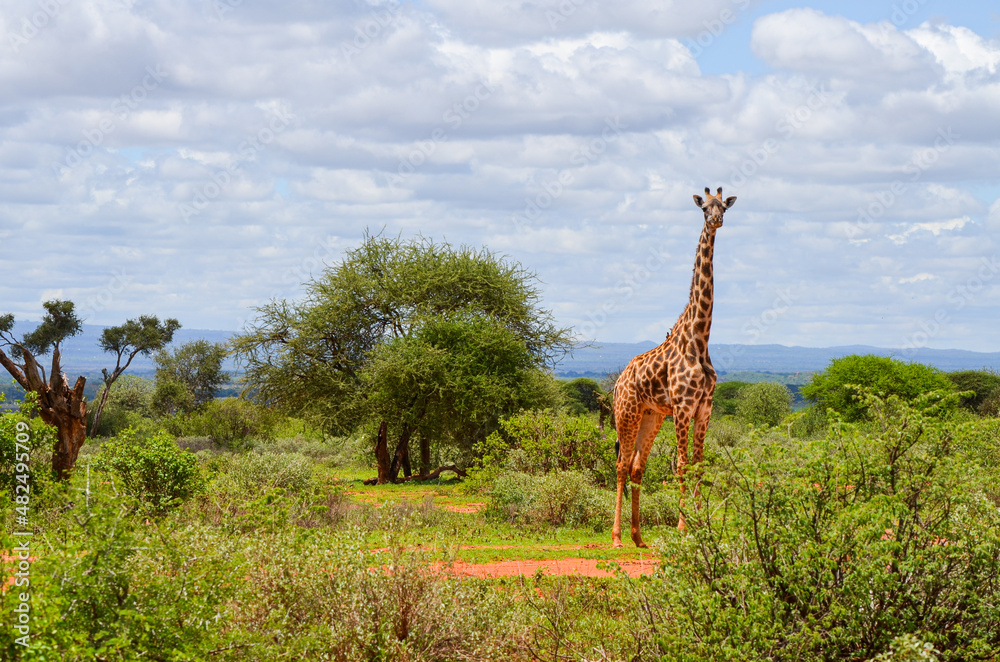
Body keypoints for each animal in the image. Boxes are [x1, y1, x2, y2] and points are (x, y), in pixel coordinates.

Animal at [611, 187, 736, 548]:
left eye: (724, 207)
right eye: (704, 208)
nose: (717, 220)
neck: (699, 339)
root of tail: (617, 383)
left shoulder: (704, 408)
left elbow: (699, 466)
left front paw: (701, 525)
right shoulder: (682, 406)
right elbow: (681, 465)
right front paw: (683, 527)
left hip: (650, 417)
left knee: (637, 466)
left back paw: (639, 537)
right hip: (627, 414)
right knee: (621, 465)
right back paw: (617, 537)